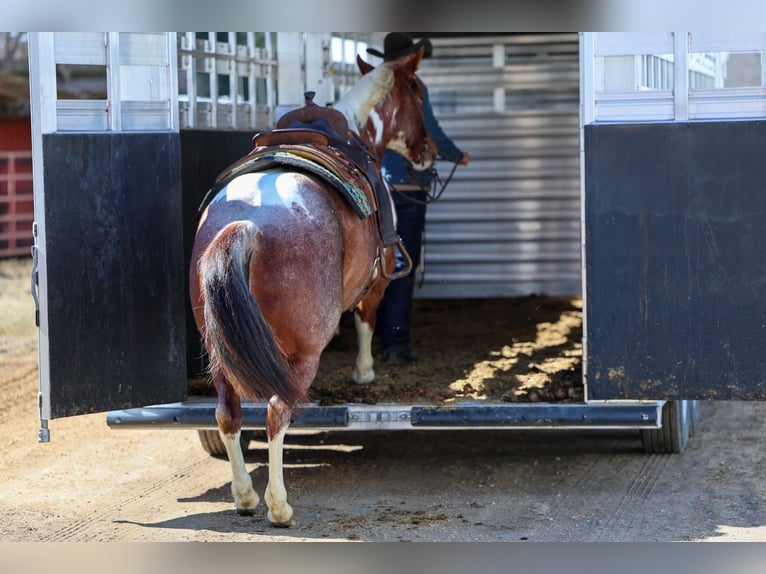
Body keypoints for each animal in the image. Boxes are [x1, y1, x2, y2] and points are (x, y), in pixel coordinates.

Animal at [189, 48, 435, 526]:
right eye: (418, 93)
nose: (428, 152)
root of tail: (247, 222)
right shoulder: (377, 283)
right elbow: (365, 323)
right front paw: (364, 372)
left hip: (218, 349)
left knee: (228, 414)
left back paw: (244, 497)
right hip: (303, 351)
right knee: (276, 412)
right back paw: (278, 505)